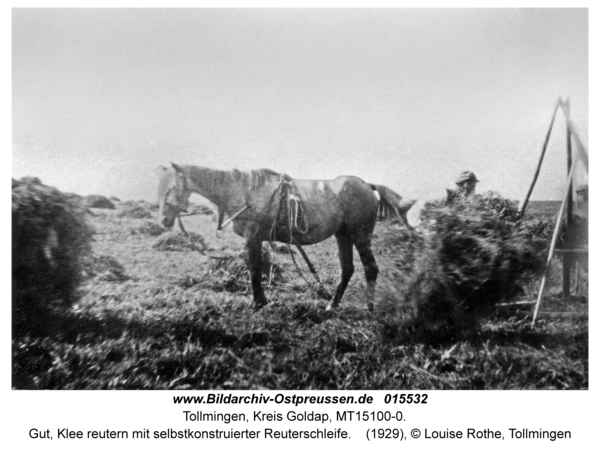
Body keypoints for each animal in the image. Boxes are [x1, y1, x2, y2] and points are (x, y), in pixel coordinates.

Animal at [156, 163, 412, 312]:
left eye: (171, 188)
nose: (164, 221)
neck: (242, 190)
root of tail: (367, 186)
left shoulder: (252, 236)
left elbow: (254, 268)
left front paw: (258, 302)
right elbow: (254, 267)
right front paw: (260, 300)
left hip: (360, 235)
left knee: (370, 268)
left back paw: (369, 308)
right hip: (343, 235)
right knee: (347, 269)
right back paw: (332, 305)